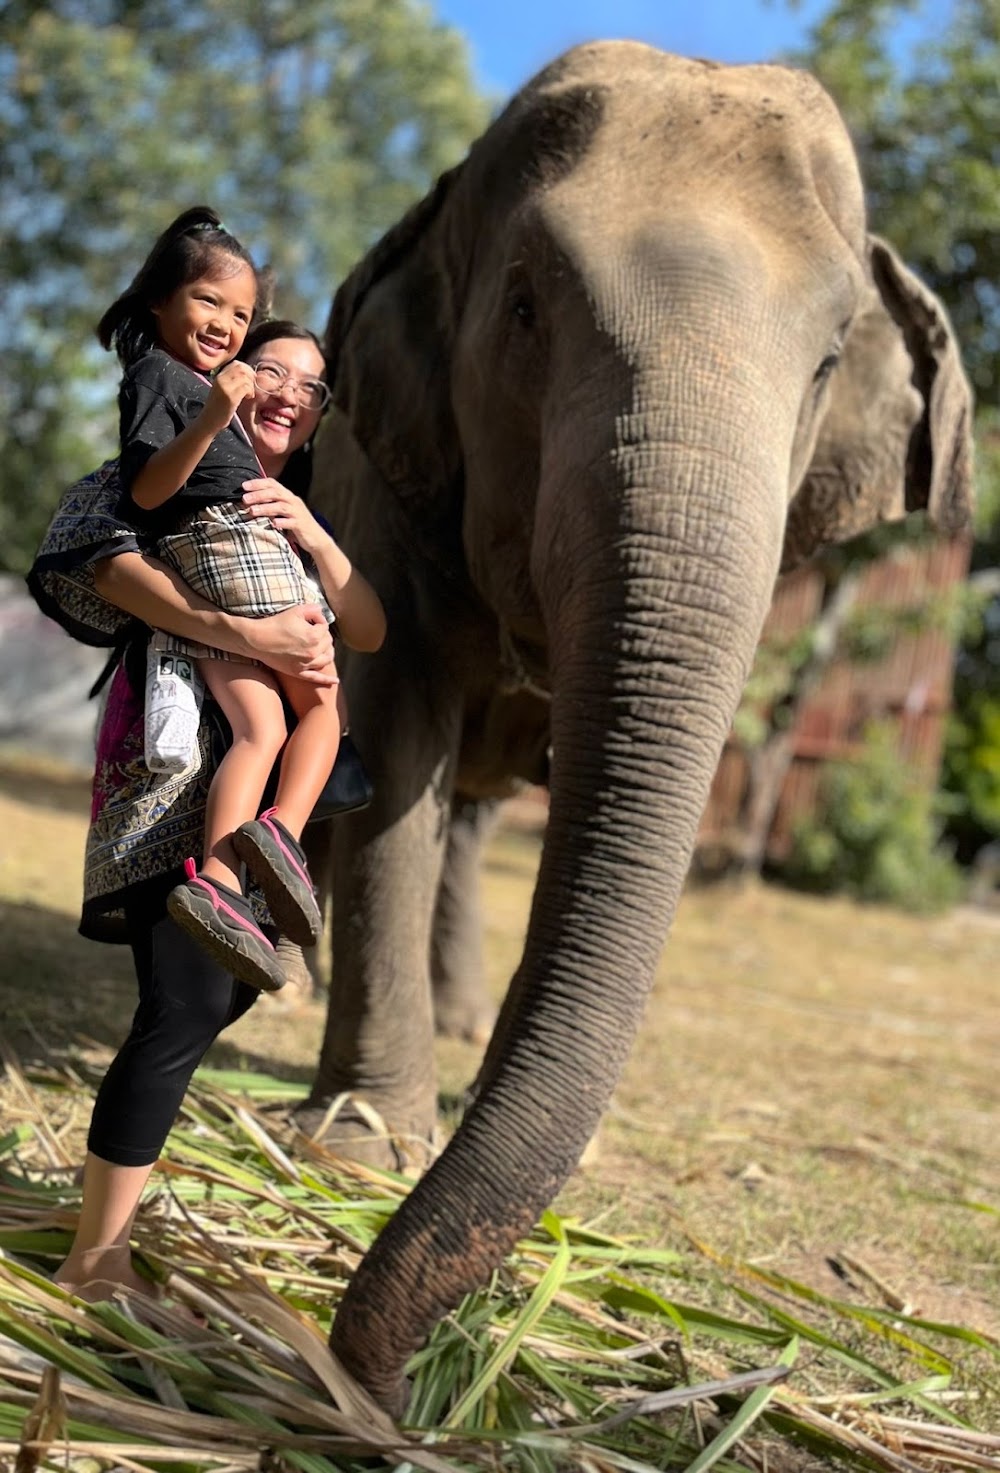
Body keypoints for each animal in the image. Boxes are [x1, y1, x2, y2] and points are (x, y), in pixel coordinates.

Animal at [301, 40, 972, 1408]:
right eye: (522, 309)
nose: (375, 1374)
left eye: (828, 360)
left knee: (474, 819)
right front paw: (359, 1147)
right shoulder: (377, 485)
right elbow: (394, 746)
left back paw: (458, 1018)